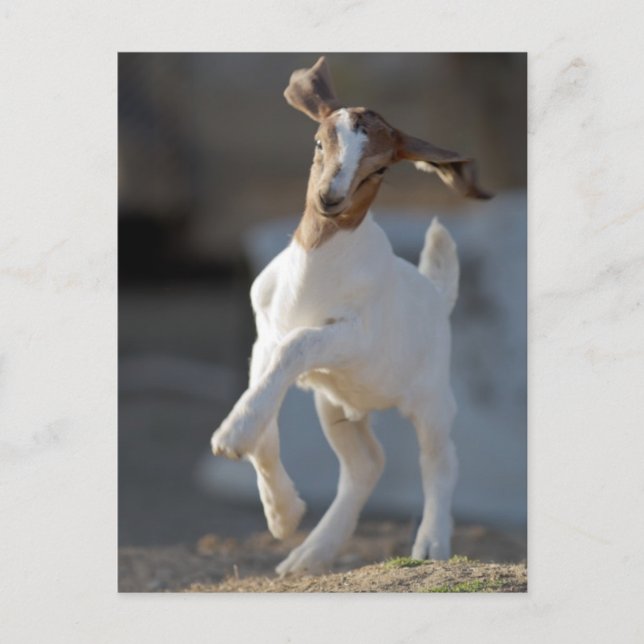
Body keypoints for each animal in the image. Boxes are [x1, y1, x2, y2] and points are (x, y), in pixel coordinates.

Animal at [211, 56, 490, 575]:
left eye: (379, 167)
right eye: (319, 142)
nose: (329, 199)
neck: (313, 277)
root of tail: (437, 293)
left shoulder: (350, 336)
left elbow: (297, 345)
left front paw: (231, 437)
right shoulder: (264, 338)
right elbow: (266, 423)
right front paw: (281, 514)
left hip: (431, 397)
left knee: (440, 458)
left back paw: (431, 544)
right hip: (335, 403)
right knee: (366, 464)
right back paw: (307, 554)